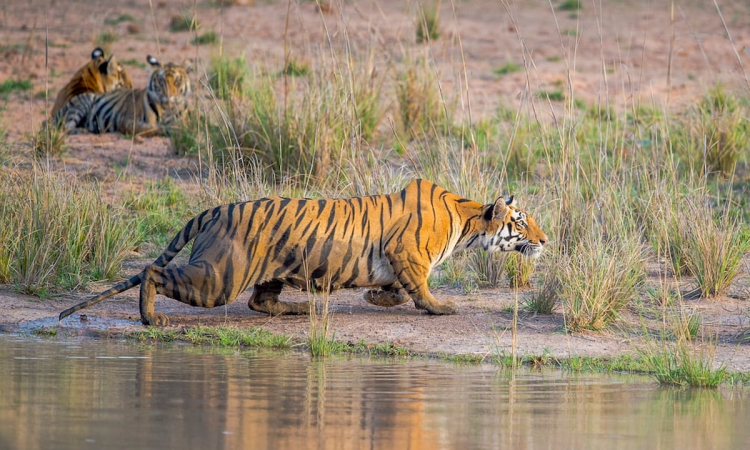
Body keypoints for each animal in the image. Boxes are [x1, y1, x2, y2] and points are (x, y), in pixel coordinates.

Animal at [58, 180, 548, 326]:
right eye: (522, 221)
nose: (545, 241)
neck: (468, 222)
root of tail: (215, 208)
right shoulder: (407, 253)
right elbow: (420, 288)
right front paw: (440, 307)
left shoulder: (396, 260)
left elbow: (396, 287)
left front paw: (377, 298)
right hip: (219, 276)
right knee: (152, 273)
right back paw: (150, 318)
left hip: (269, 271)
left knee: (260, 302)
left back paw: (296, 310)